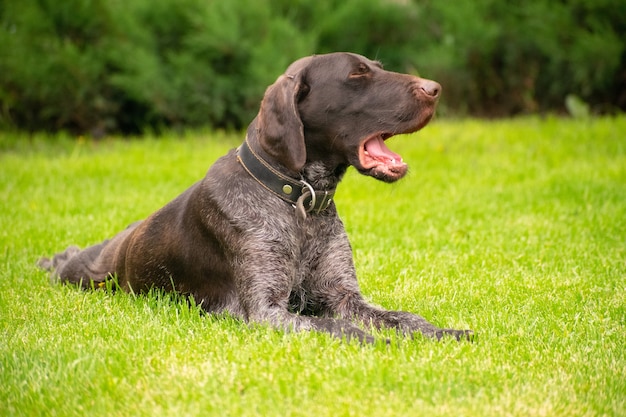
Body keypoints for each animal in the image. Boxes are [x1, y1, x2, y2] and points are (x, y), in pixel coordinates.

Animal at [39, 52, 470, 342]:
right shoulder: (265, 310)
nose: (435, 89)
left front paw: (443, 332)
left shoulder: (343, 296)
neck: (300, 201)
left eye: (376, 67)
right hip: (84, 275)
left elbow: (405, 318)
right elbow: (334, 325)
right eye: (357, 75)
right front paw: (371, 340)